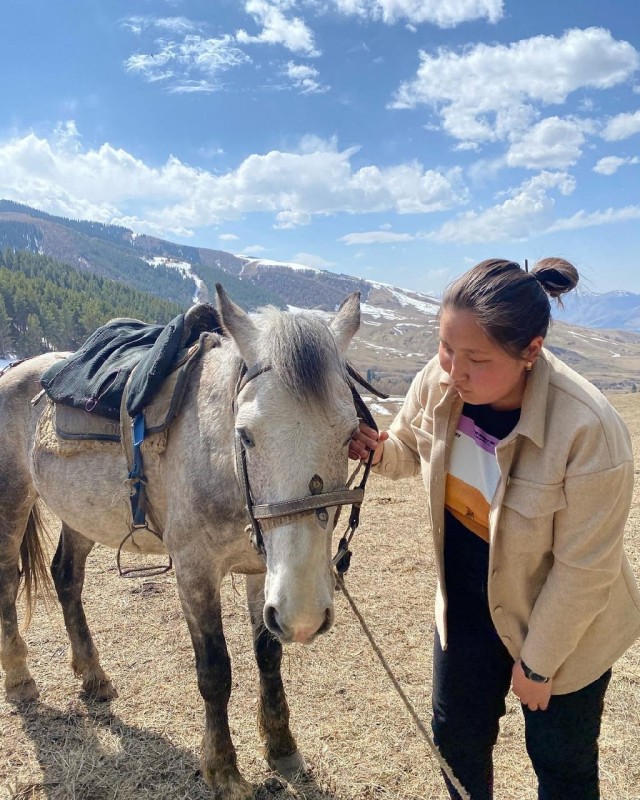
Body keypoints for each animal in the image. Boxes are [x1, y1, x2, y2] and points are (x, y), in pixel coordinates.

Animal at [0, 286, 365, 800]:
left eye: (351, 433)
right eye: (245, 434)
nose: (305, 617)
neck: (220, 459)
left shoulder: (263, 572)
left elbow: (268, 656)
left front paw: (281, 747)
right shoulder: (194, 572)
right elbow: (215, 672)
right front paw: (225, 772)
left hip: (80, 513)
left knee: (66, 577)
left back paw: (93, 676)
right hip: (11, 499)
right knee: (8, 583)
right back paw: (20, 678)